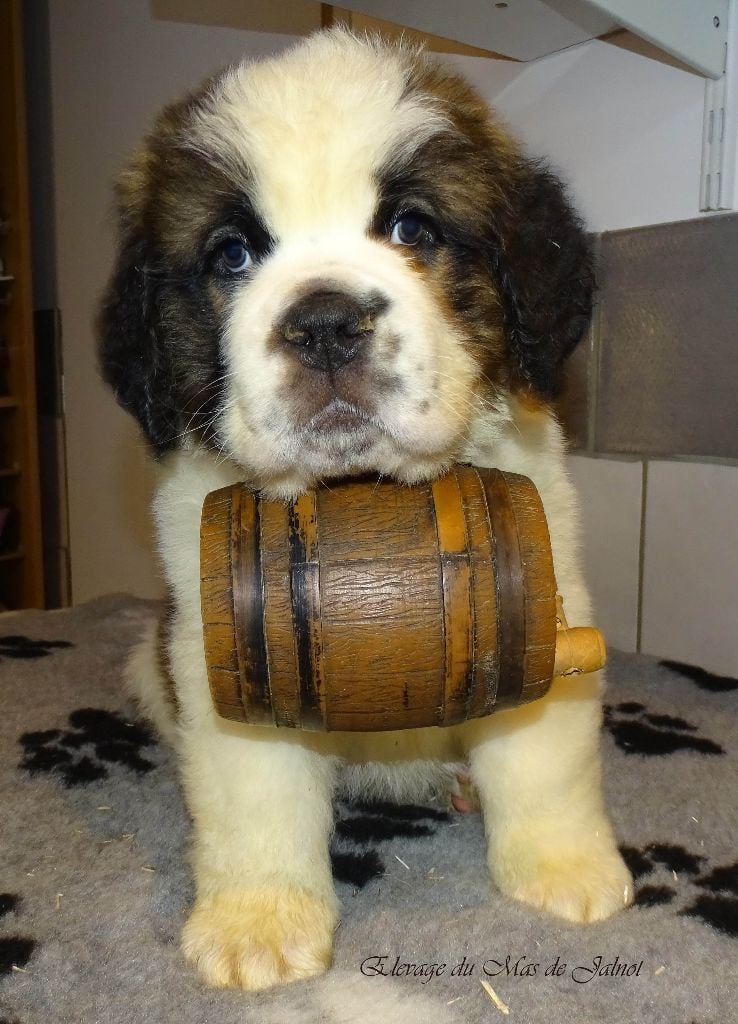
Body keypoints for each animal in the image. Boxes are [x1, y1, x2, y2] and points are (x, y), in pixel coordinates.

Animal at [98, 29, 633, 991]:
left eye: (412, 229)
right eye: (232, 255)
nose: (324, 324)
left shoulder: (541, 594)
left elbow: (543, 755)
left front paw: (566, 868)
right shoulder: (232, 641)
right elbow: (256, 791)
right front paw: (259, 921)